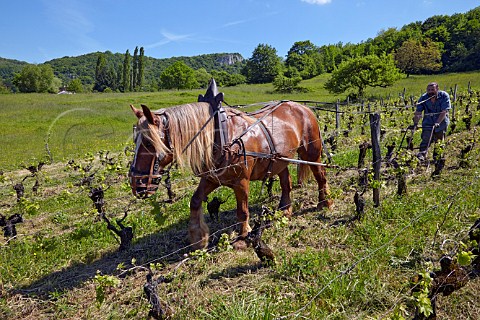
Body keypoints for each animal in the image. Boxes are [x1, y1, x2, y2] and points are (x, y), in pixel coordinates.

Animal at [129, 101, 332, 249]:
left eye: (149, 142)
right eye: (135, 140)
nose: (136, 184)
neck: (220, 137)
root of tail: (303, 107)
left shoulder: (241, 182)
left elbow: (242, 211)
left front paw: (243, 236)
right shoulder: (211, 179)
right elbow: (195, 201)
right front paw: (198, 237)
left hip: (311, 152)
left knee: (320, 174)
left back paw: (325, 202)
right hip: (280, 160)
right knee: (286, 184)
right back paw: (285, 210)